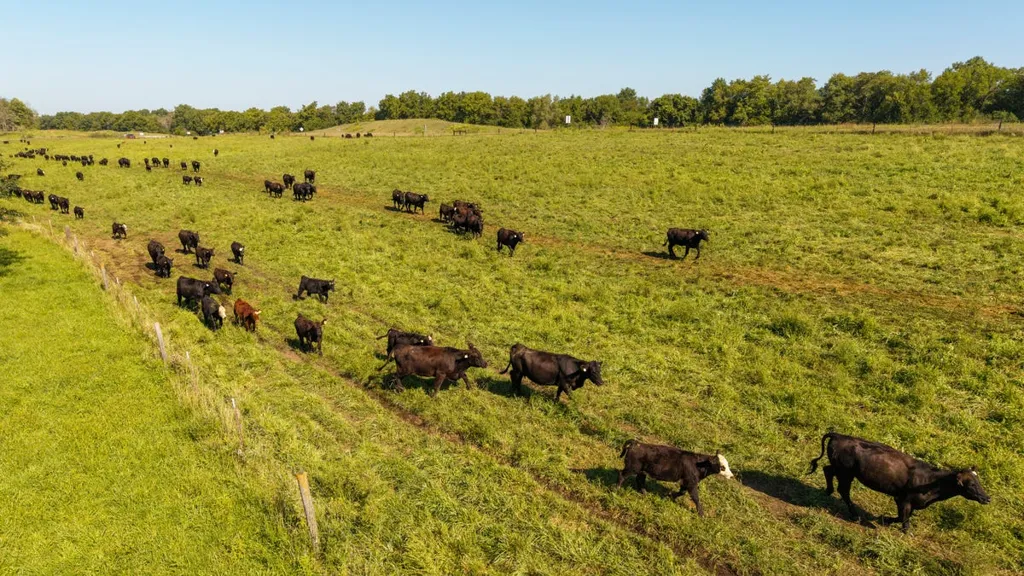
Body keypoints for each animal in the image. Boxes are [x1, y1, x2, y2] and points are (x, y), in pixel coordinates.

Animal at [808, 432, 990, 532]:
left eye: (979, 481)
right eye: (971, 484)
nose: (987, 498)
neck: (931, 482)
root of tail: (838, 435)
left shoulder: (906, 501)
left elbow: (901, 516)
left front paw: (885, 519)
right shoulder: (904, 499)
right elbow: (904, 519)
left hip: (840, 469)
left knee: (827, 470)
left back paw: (828, 491)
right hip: (846, 473)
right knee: (844, 491)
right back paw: (854, 514)